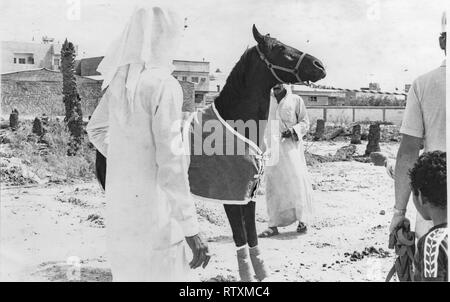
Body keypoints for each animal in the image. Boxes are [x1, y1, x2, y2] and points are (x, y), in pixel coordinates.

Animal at [95, 25, 326, 280]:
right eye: (279, 48)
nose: (319, 65)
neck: (236, 124)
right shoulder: (231, 197)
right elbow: (240, 238)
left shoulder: (248, 195)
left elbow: (252, 236)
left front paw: (261, 273)